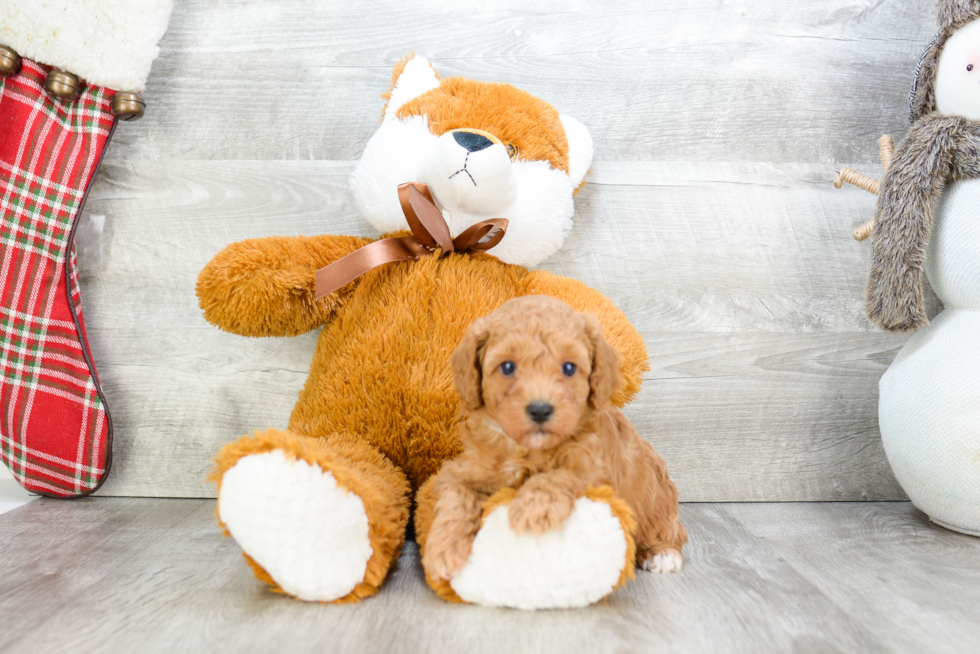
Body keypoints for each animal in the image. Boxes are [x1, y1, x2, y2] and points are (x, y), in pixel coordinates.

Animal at [424, 294, 688, 580]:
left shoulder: (595, 472)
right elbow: (456, 498)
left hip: (658, 505)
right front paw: (443, 548)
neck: (526, 449)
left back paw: (663, 554)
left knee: (670, 532)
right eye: (507, 367)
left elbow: (559, 474)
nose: (540, 409)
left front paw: (533, 507)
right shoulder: (464, 470)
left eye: (569, 368)